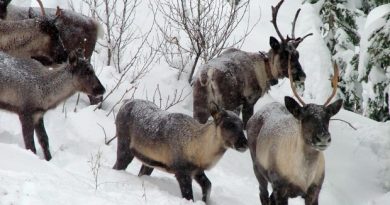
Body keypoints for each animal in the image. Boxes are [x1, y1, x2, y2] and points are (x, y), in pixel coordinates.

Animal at [113, 99, 247, 203]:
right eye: (228, 124)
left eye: (241, 124)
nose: (244, 144)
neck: (201, 152)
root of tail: (125, 102)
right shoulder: (182, 171)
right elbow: (189, 196)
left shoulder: (197, 170)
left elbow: (208, 185)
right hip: (125, 145)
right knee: (118, 164)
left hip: (149, 162)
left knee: (142, 173)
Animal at [247, 58, 342, 203]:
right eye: (304, 117)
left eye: (328, 117)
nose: (323, 138)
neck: (304, 178)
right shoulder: (280, 187)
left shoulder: (315, 190)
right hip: (257, 168)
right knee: (263, 194)